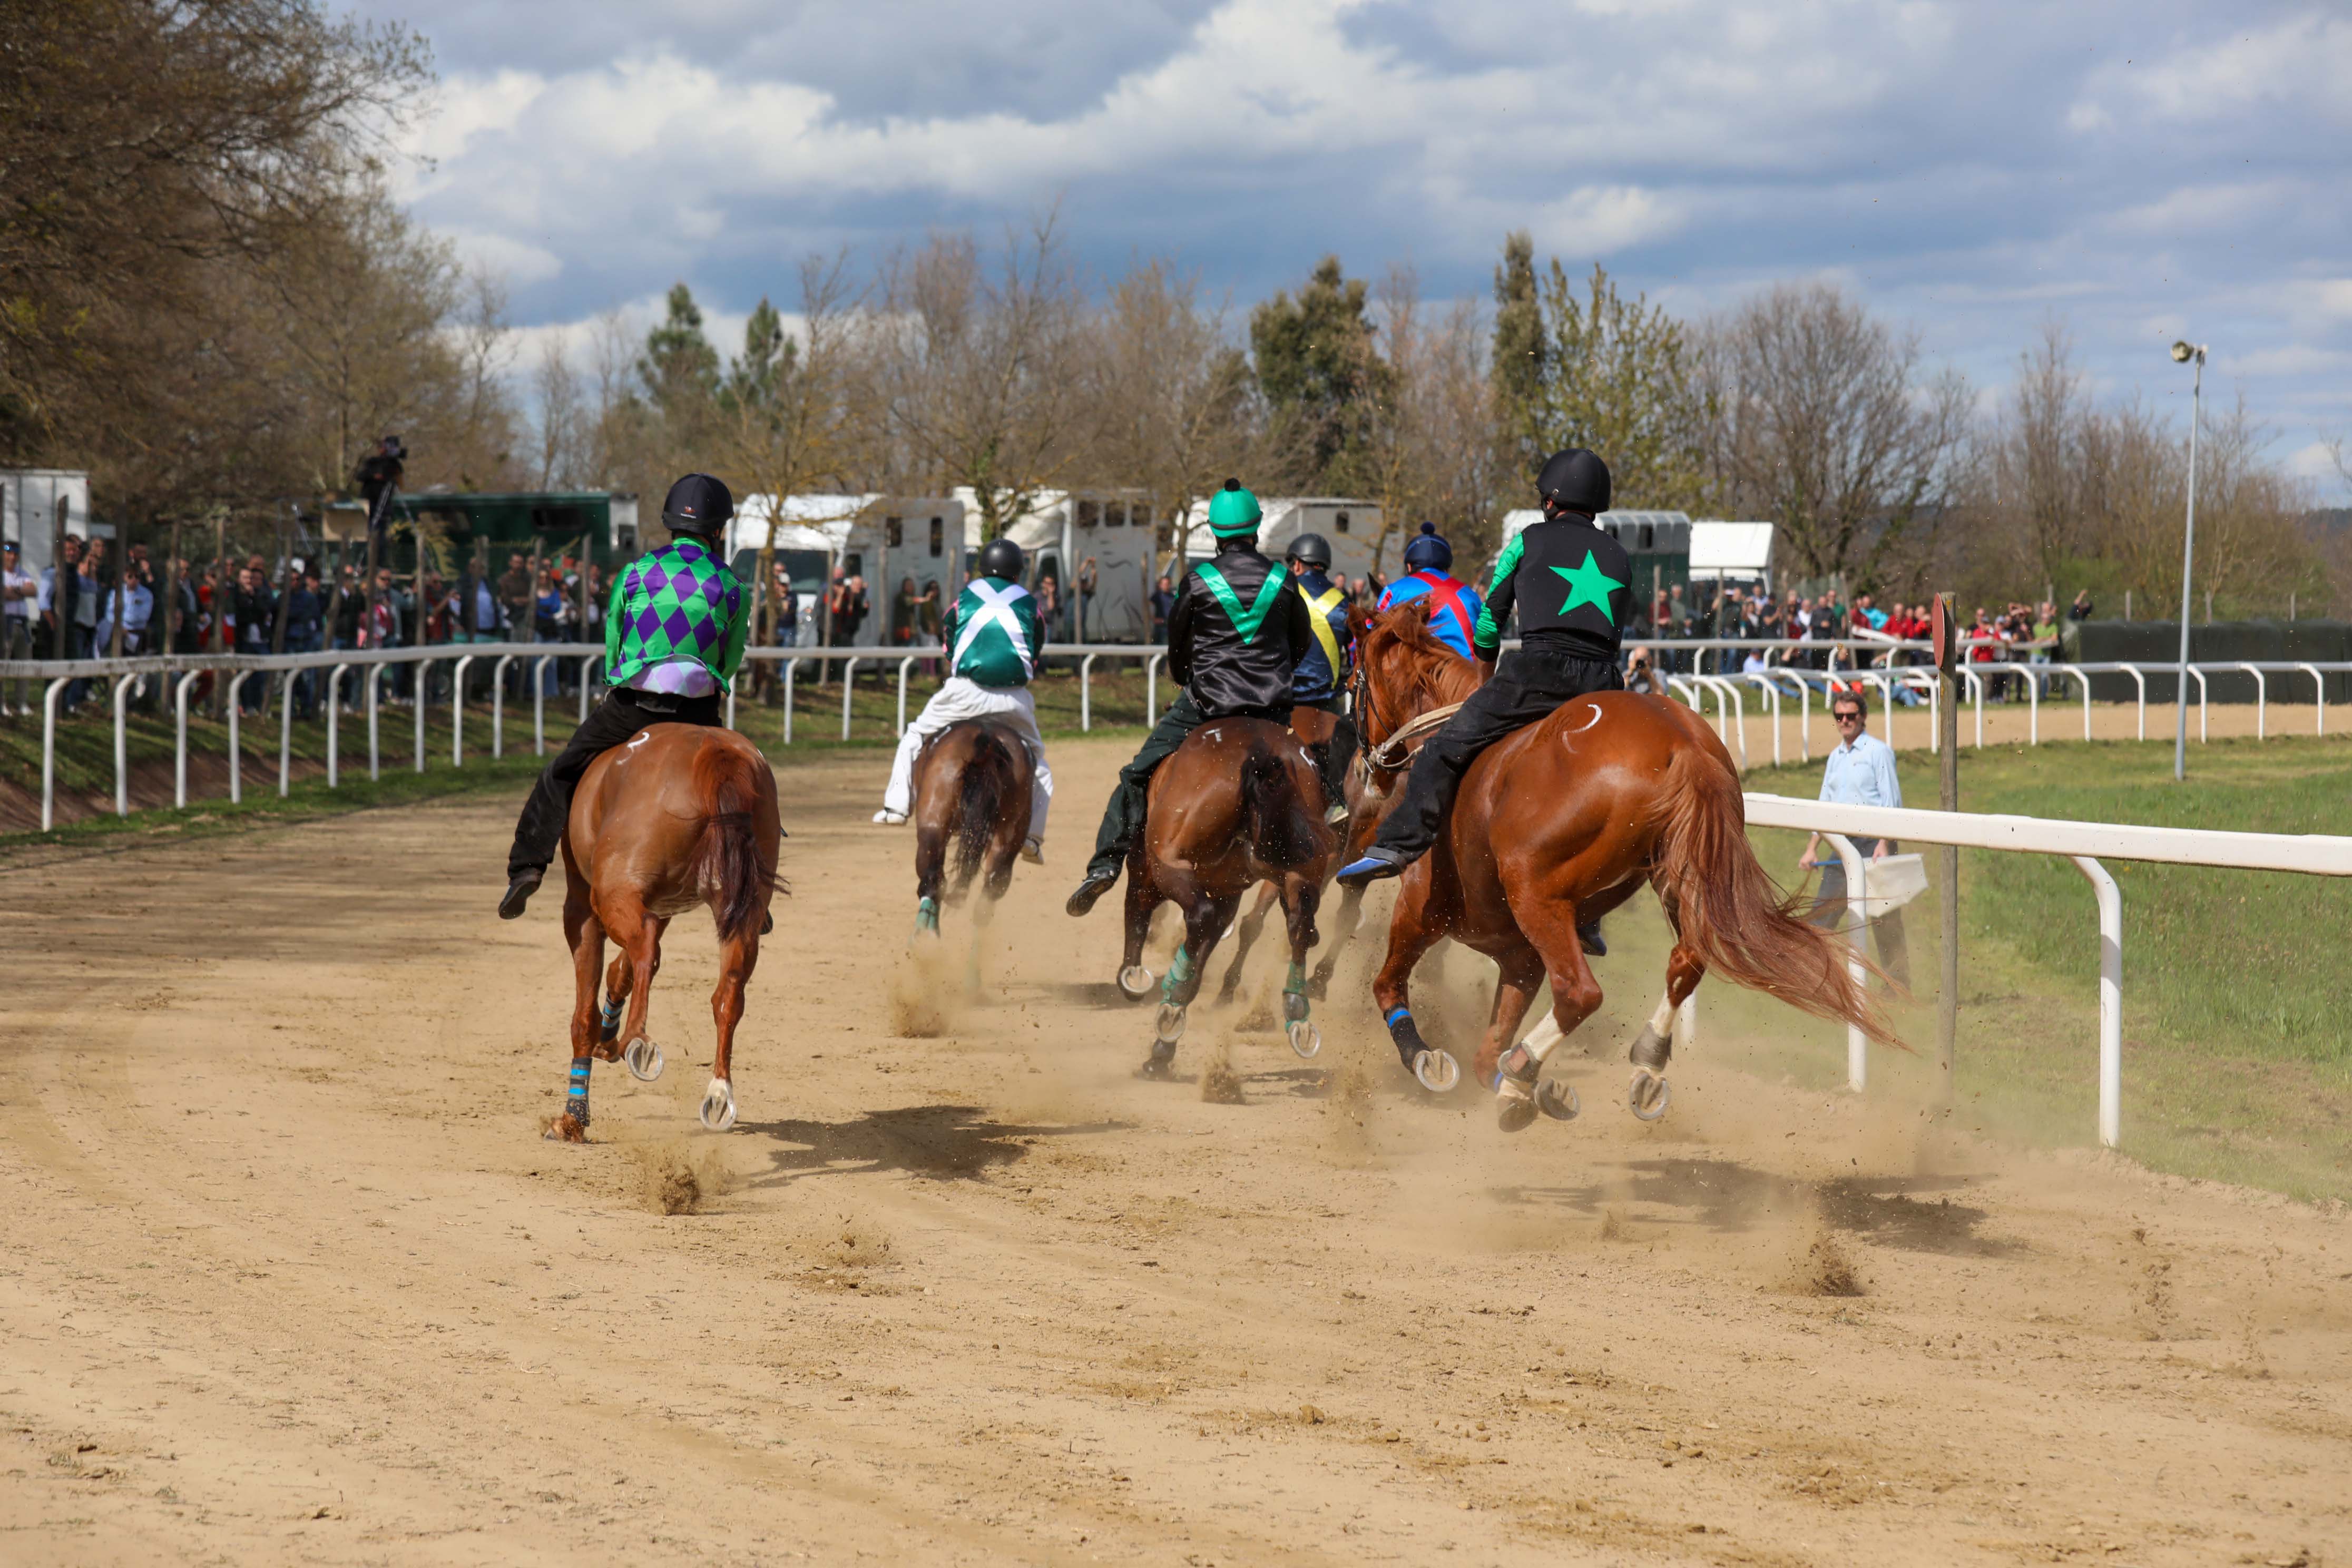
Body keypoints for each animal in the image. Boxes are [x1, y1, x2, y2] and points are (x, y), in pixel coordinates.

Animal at [543, 724, 781, 1142]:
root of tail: (713, 750)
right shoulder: (664, 903)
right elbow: (618, 972)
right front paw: (606, 1037)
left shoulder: (583, 906)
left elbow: (584, 1013)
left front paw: (573, 1117)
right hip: (743, 913)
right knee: (727, 993)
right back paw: (719, 1094)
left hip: (612, 892)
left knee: (645, 946)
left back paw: (637, 1041)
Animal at [908, 719, 1030, 949]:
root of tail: (988, 740)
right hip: (1006, 837)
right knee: (987, 898)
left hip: (932, 825)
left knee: (932, 880)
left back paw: (924, 941)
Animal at [1124, 719, 1345, 1081]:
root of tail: (1261, 756)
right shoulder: (1228, 892)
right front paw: (1164, 1048)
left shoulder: (1155, 872)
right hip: (1303, 866)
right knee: (1299, 923)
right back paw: (1296, 1008)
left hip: (1168, 862)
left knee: (1197, 915)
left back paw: (1169, 999)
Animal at [1355, 602, 1881, 1128]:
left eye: (1355, 682)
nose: (1369, 771)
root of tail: (1682, 744)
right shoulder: (1518, 955)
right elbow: (1485, 1056)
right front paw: (1524, 1085)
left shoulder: (1421, 908)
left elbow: (1388, 987)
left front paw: (1428, 1058)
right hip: (1679, 875)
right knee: (1687, 960)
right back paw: (1640, 1064)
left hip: (1536, 893)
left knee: (1579, 992)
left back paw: (1528, 1069)